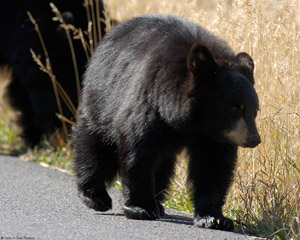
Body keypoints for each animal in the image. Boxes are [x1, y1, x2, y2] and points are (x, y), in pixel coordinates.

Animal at [72, 14, 260, 231]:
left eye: (255, 110)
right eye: (235, 107)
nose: (254, 138)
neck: (194, 123)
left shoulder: (214, 137)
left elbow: (213, 165)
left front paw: (214, 218)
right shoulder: (150, 102)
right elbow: (138, 150)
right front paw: (140, 208)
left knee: (162, 164)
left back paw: (159, 203)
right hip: (102, 97)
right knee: (96, 145)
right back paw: (94, 196)